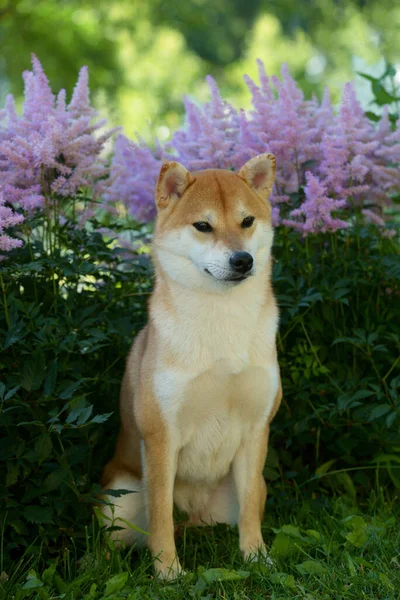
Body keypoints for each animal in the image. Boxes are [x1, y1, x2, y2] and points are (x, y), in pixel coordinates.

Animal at [99, 152, 282, 580]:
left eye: (247, 221)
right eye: (203, 225)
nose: (243, 259)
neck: (221, 323)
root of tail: (196, 519)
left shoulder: (256, 431)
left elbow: (250, 513)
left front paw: (256, 558)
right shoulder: (161, 436)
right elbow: (161, 517)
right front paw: (168, 573)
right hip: (120, 498)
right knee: (120, 539)